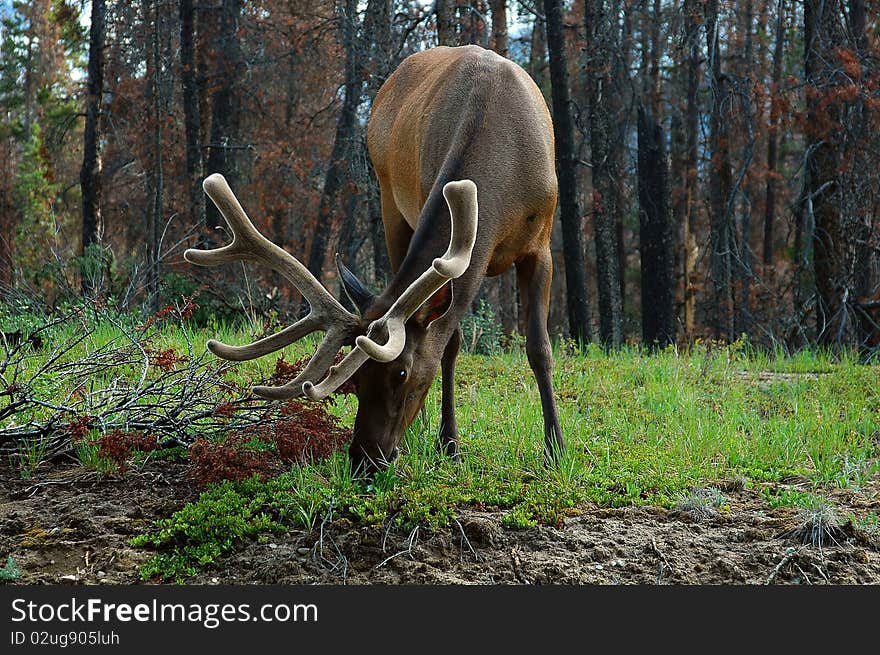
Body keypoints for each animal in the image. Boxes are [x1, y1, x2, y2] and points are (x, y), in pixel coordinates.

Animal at [187, 47, 564, 476]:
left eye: (401, 372)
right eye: (354, 380)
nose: (363, 459)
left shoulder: (542, 244)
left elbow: (539, 348)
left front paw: (555, 449)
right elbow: (450, 344)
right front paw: (450, 444)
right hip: (390, 203)